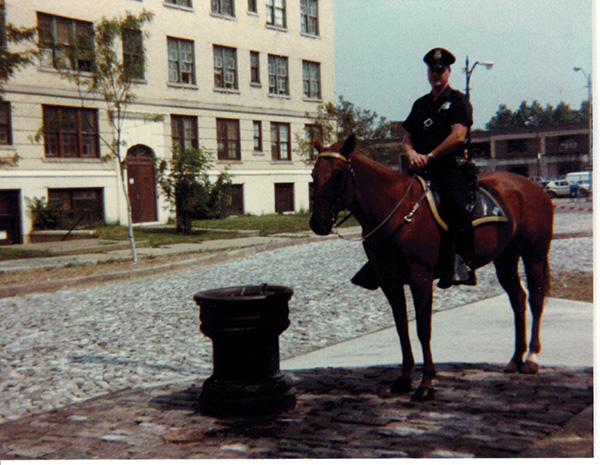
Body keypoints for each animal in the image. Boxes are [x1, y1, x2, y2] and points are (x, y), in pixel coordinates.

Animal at [310, 133, 552, 398]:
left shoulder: (420, 277)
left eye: (338, 175)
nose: (317, 223)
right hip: (506, 258)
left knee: (535, 299)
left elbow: (423, 328)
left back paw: (532, 358)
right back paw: (515, 359)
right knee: (518, 298)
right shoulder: (389, 281)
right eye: (313, 175)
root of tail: (534, 187)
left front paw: (426, 383)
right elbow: (401, 327)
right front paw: (404, 378)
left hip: (534, 256)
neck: (398, 211)